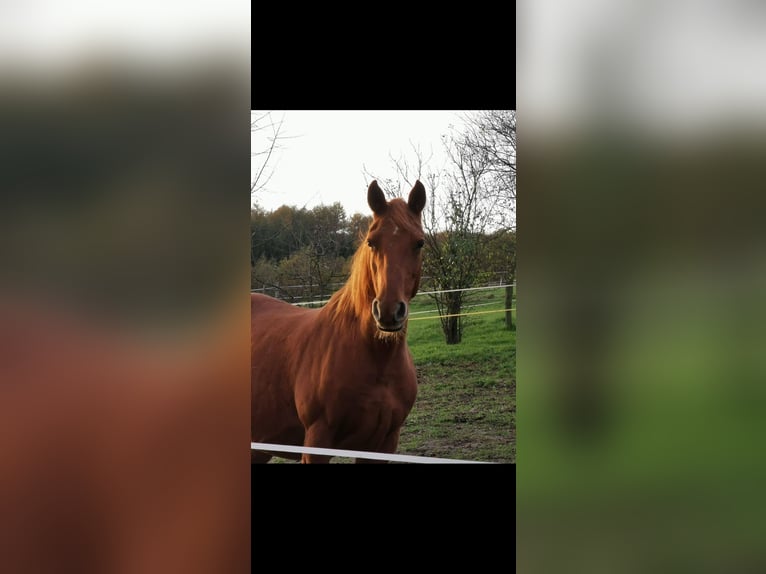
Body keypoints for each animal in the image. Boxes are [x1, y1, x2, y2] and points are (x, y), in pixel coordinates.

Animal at [251, 180, 427, 463]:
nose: (388, 311)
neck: (376, 359)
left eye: (419, 243)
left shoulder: (382, 444)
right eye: (371, 242)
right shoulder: (317, 441)